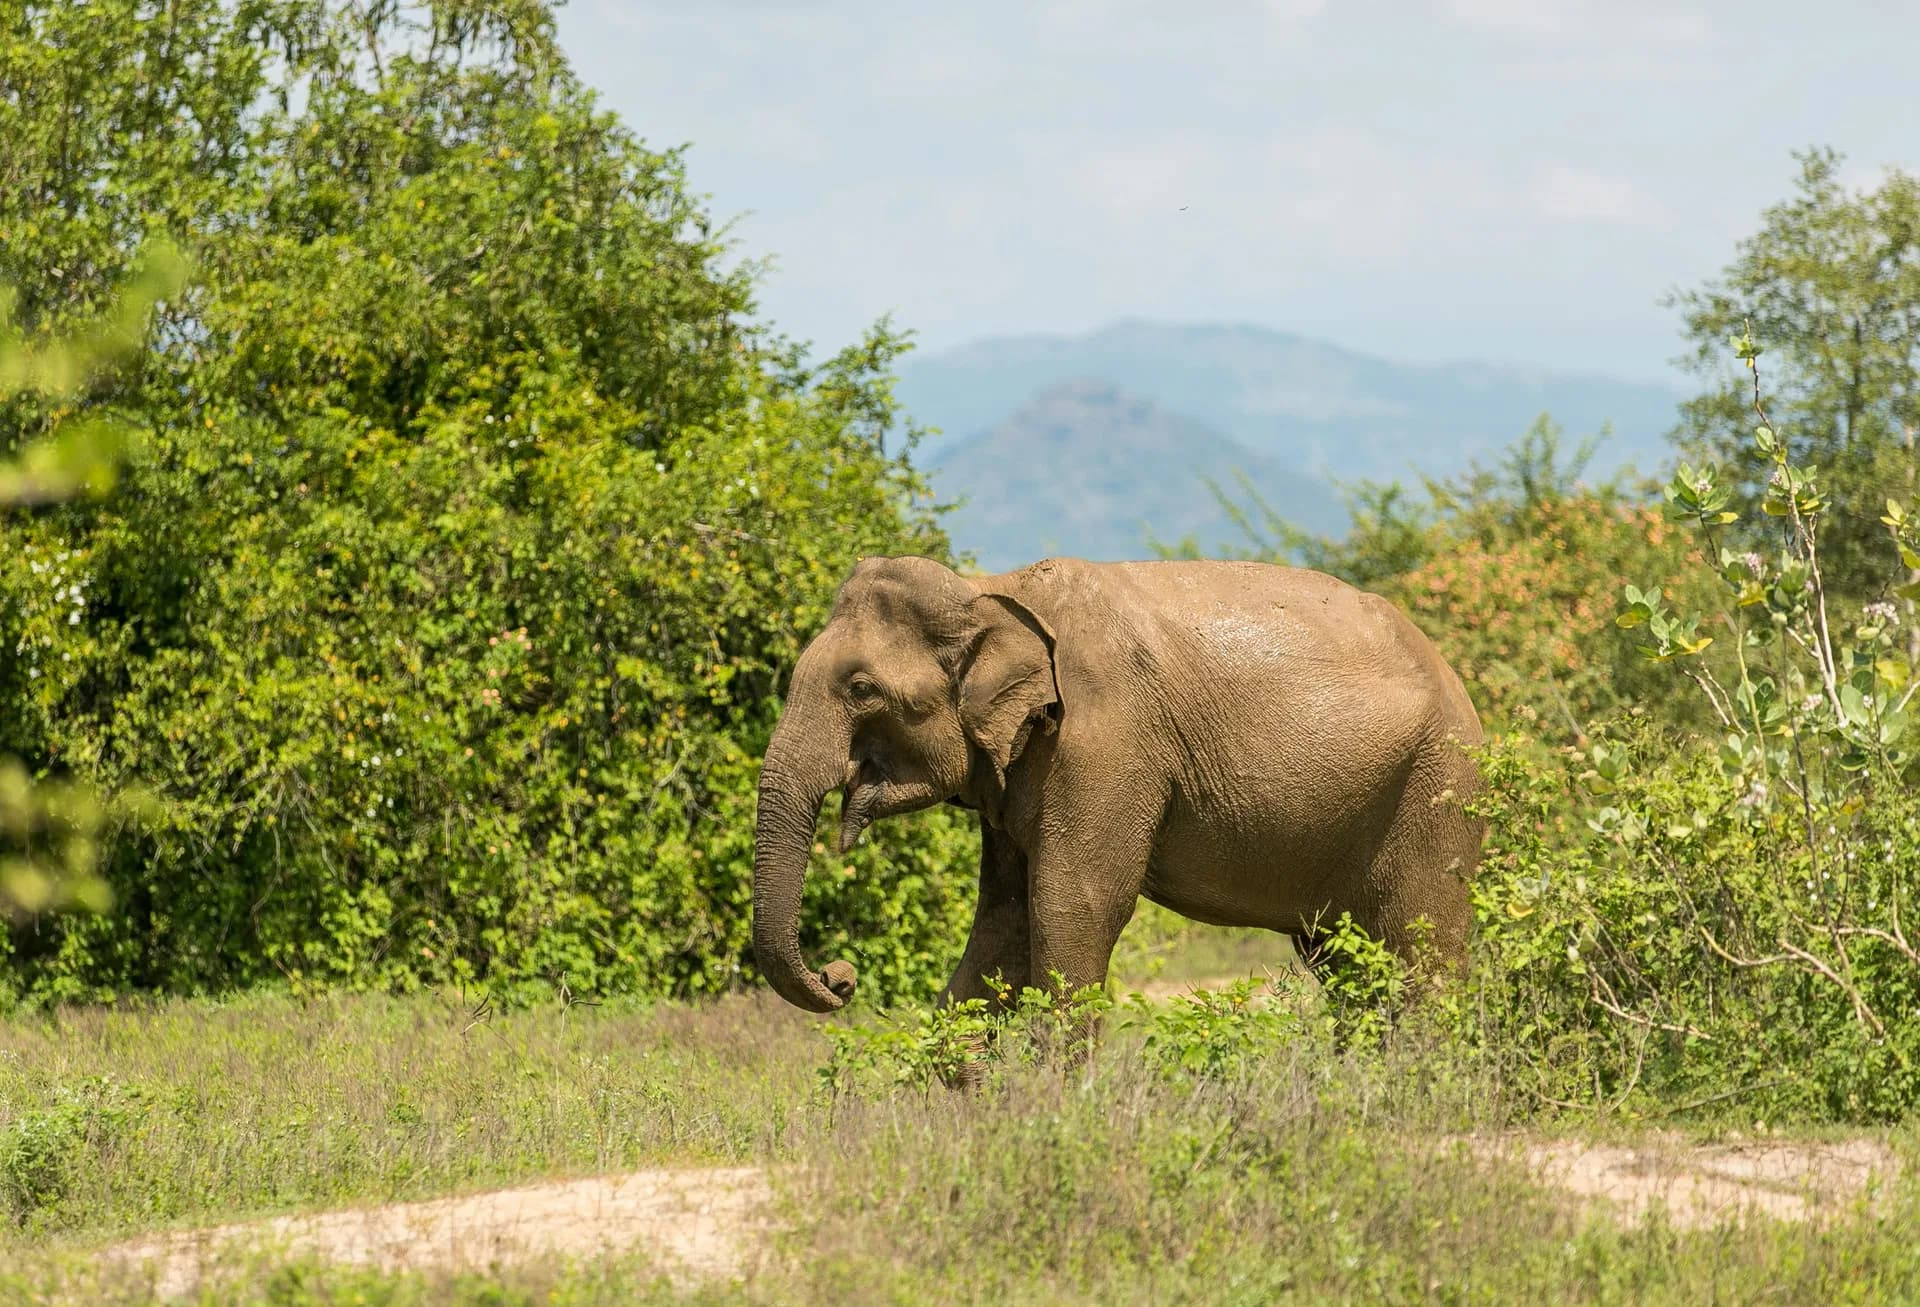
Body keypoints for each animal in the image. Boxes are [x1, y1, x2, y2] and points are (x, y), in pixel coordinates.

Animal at [751, 554, 1486, 1015]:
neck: (989, 589)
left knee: (1420, 949)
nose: (840, 976)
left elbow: (1073, 905)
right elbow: (1002, 920)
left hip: (1437, 792)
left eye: (862, 689)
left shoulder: (1103, 742)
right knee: (1345, 959)